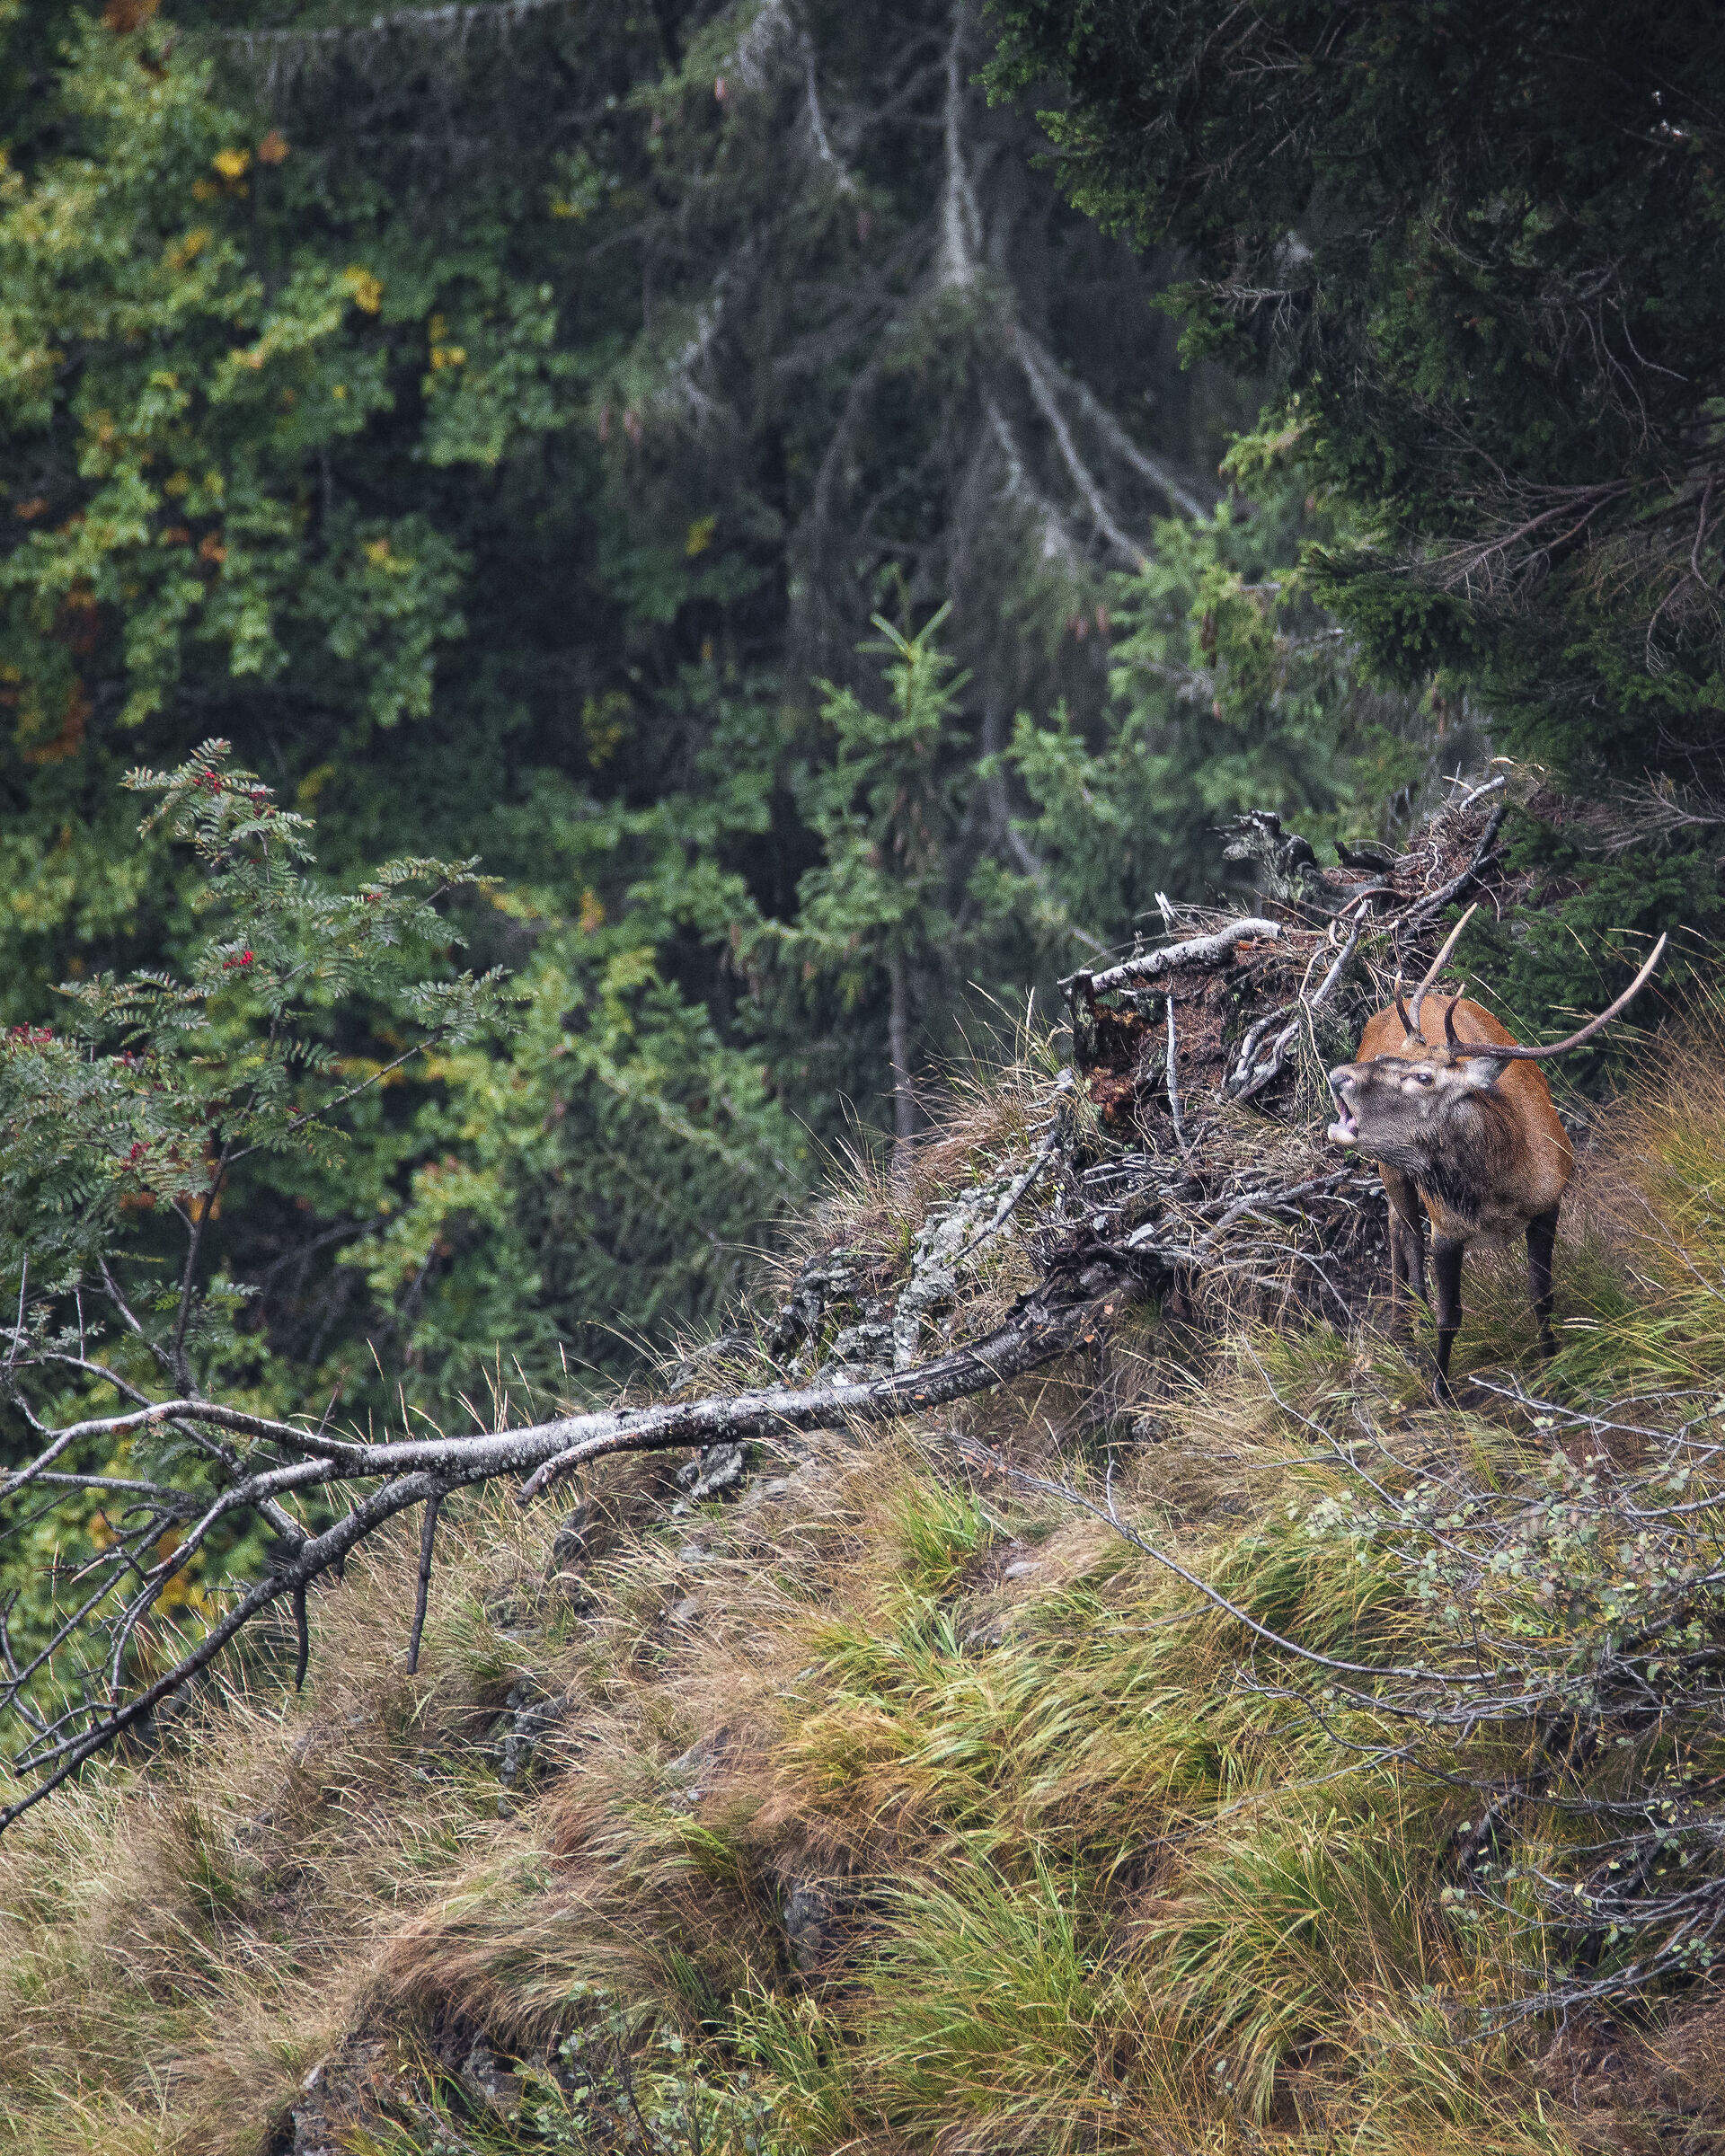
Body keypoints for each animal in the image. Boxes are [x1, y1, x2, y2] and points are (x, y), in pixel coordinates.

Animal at [1325, 905, 1666, 1399]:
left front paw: (1552, 1365)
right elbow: (1450, 1316)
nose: (1338, 1075)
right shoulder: (1447, 1228)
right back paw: (1405, 1334)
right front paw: (1440, 1389)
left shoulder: (1548, 1203)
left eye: (1423, 1077)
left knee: (1396, 1228)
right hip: (1393, 1170)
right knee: (1402, 1232)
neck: (1501, 1190)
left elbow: (1542, 1294)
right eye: (1389, 1061)